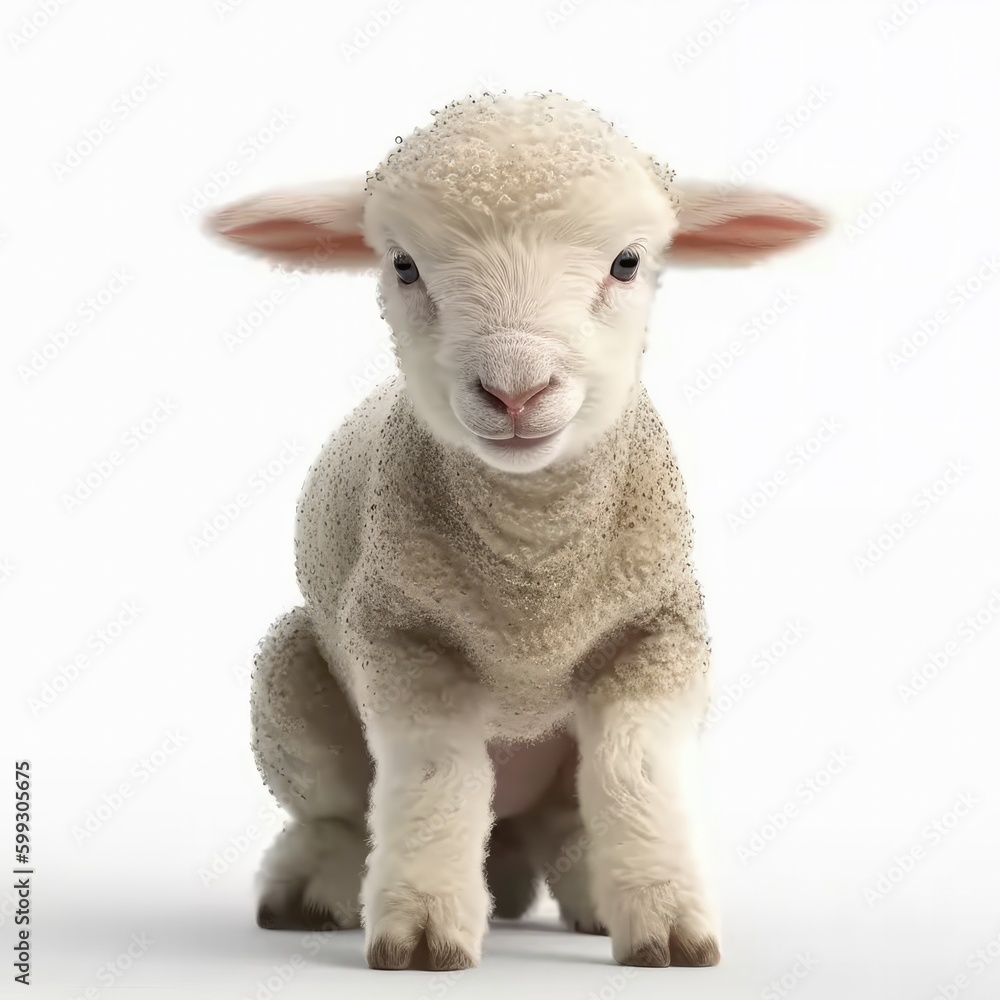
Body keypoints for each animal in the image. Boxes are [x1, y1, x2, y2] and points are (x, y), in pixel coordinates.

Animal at [206, 91, 825, 971]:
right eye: (403, 264)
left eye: (628, 262)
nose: (515, 390)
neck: (533, 571)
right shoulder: (400, 638)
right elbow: (437, 778)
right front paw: (423, 930)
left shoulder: (661, 633)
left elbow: (633, 771)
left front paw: (668, 924)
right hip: (290, 673)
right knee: (335, 808)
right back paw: (314, 888)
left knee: (567, 815)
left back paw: (585, 888)